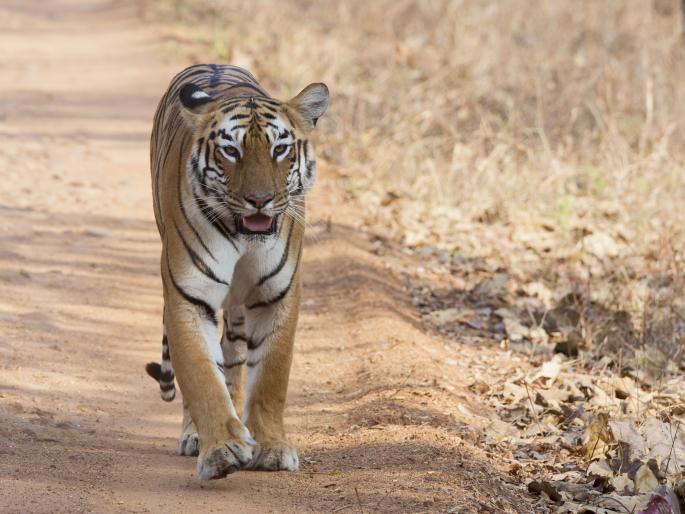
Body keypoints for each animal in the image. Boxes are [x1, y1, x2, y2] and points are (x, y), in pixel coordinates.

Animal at [144, 64, 328, 480]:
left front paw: (271, 447)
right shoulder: (188, 296)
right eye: (231, 150)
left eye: (280, 149)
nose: (259, 201)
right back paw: (197, 436)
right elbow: (200, 375)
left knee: (234, 359)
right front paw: (221, 450)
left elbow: (270, 377)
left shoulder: (277, 296)